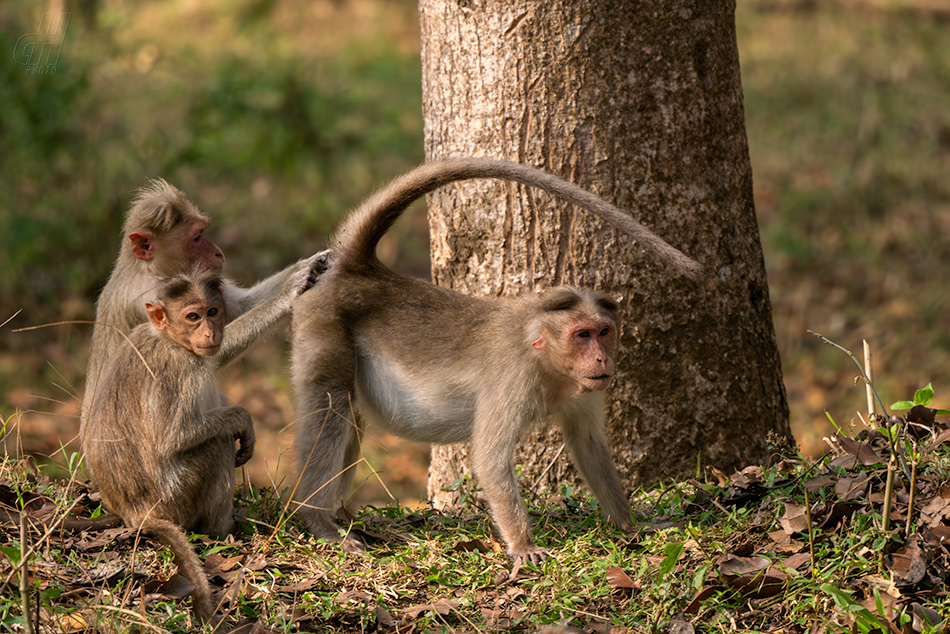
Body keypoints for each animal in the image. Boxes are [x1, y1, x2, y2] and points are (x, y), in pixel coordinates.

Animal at [83, 264, 318, 620]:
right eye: (192, 316)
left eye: (213, 312)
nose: (210, 333)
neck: (167, 337)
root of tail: (136, 513)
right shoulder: (184, 367)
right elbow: (176, 435)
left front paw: (309, 267)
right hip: (177, 497)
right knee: (216, 445)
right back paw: (224, 531)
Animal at [290, 158, 700, 564]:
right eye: (582, 336)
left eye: (604, 332)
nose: (602, 358)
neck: (544, 361)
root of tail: (362, 269)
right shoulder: (513, 378)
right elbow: (490, 458)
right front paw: (523, 545)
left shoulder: (583, 386)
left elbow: (588, 443)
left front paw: (631, 525)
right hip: (322, 328)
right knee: (331, 409)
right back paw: (319, 520)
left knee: (348, 419)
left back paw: (340, 515)